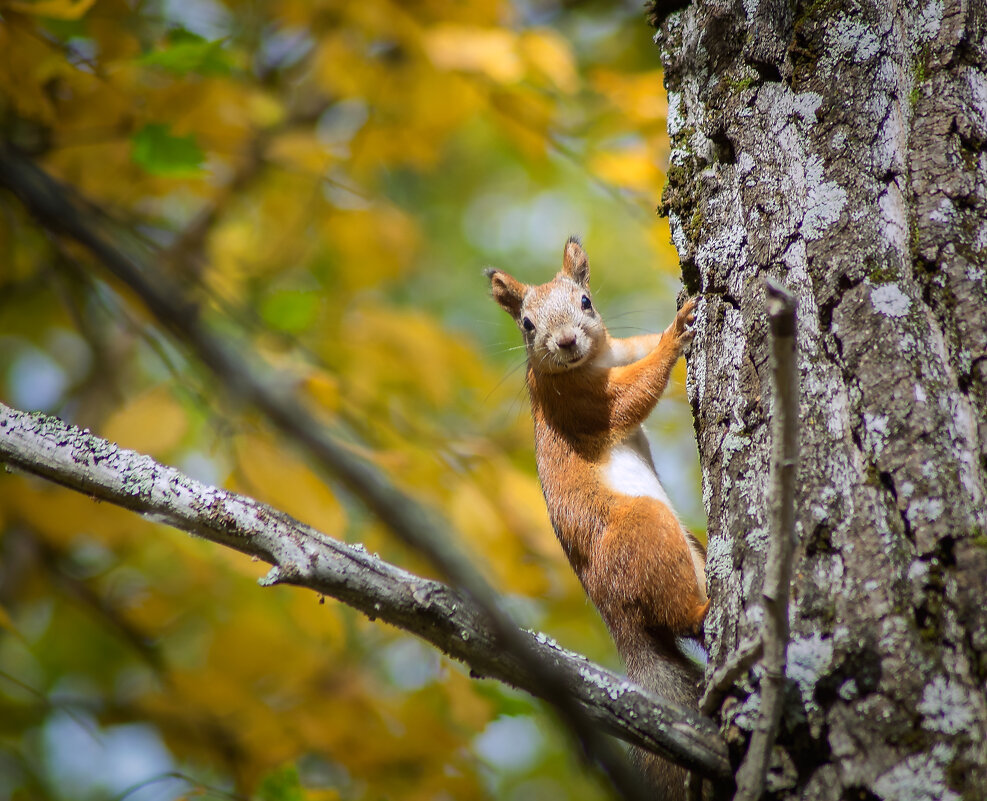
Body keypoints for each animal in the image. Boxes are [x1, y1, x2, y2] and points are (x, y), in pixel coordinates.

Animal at [488, 236, 712, 792]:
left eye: (586, 302)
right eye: (527, 325)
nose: (567, 341)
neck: (587, 363)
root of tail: (617, 615)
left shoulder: (619, 349)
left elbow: (639, 351)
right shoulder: (582, 403)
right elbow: (630, 397)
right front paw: (677, 334)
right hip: (643, 533)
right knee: (678, 613)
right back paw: (703, 611)